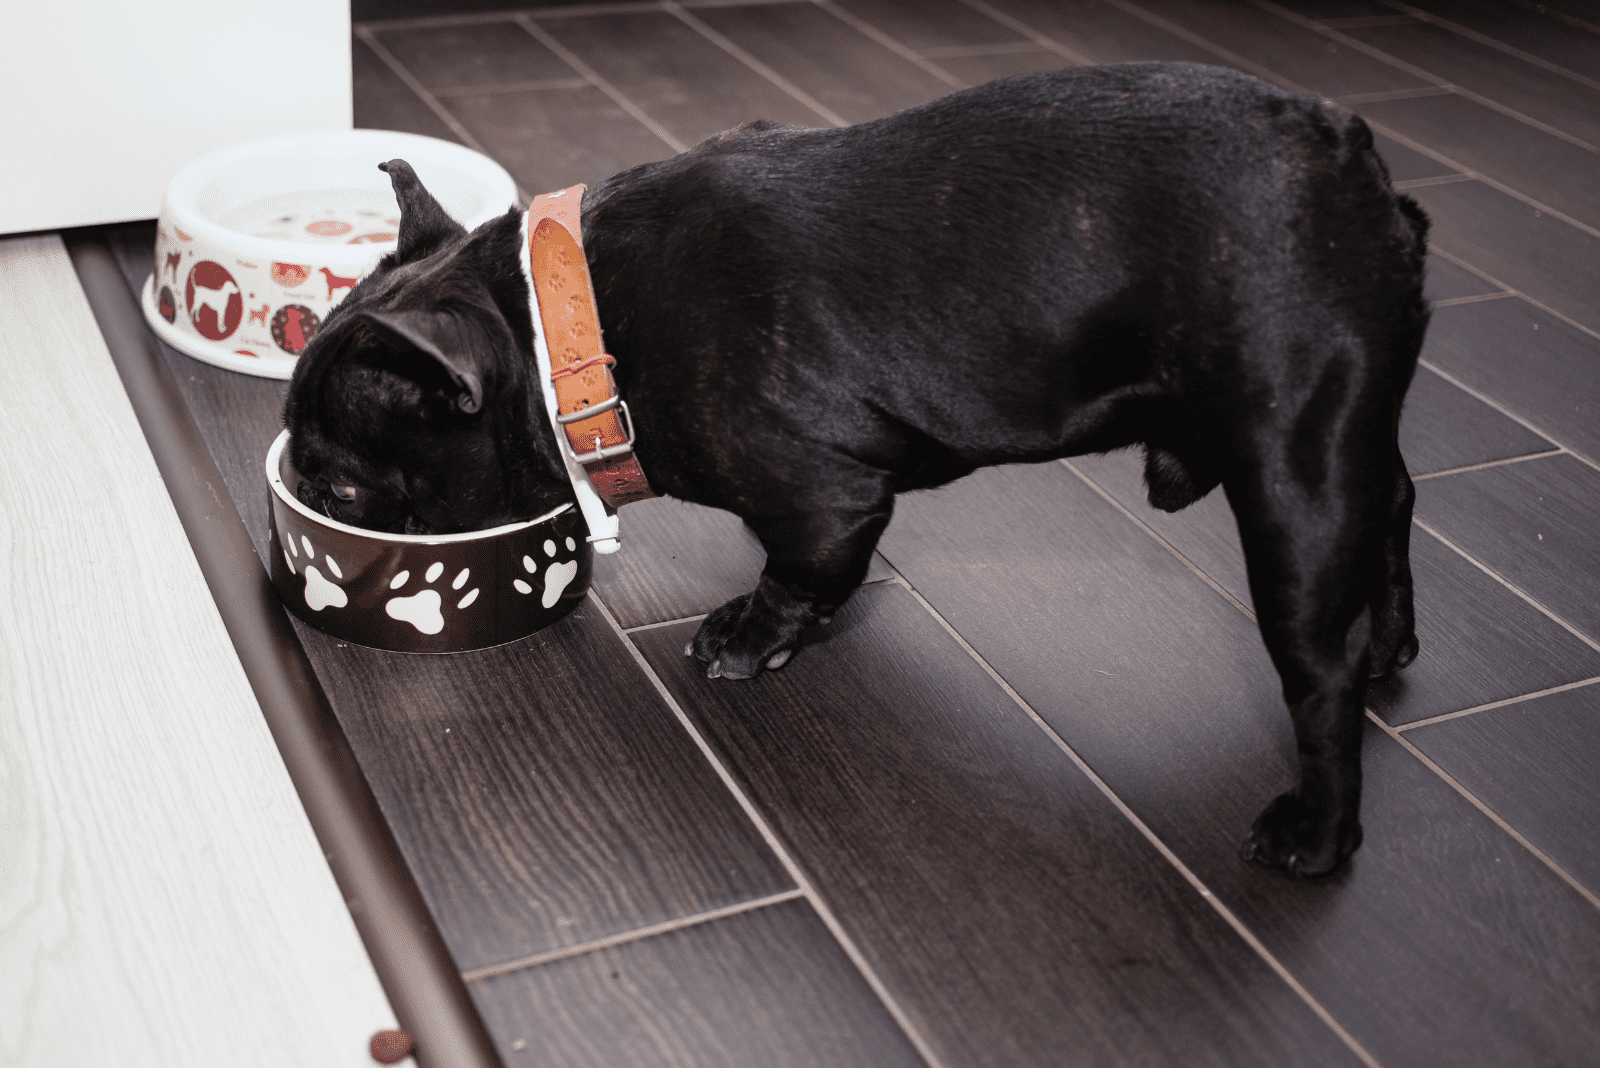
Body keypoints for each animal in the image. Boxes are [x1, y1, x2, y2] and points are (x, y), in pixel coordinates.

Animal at [284, 62, 1427, 876]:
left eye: (340, 490)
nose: (300, 495)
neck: (569, 319)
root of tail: (1357, 167)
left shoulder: (821, 497)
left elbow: (802, 572)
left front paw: (747, 640)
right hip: (1344, 440)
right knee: (1395, 504)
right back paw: (1390, 648)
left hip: (1289, 477)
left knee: (1315, 666)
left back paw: (1317, 831)